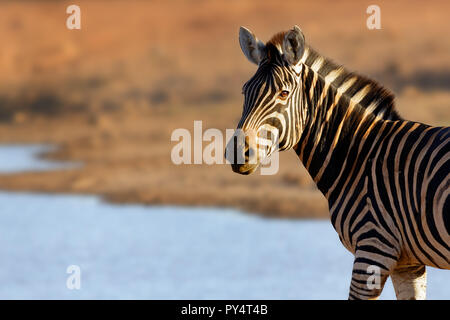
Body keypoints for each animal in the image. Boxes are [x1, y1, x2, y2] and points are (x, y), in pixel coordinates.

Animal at [225, 25, 450, 300]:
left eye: (283, 93)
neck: (359, 154)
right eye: (245, 92)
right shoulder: (408, 262)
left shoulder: (373, 248)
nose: (237, 153)